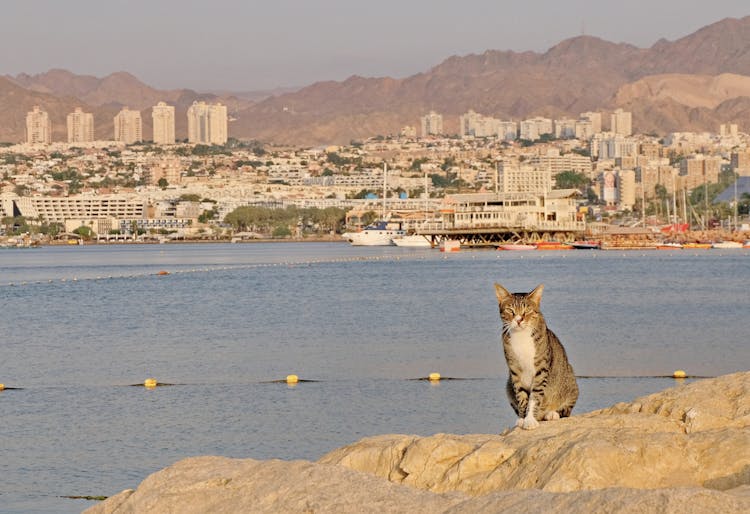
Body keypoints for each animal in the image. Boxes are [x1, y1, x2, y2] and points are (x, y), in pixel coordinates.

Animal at [494, 282, 580, 426]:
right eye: (510, 310)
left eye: (527, 310)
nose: (519, 320)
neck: (522, 336)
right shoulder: (514, 370)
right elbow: (521, 396)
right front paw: (523, 419)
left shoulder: (541, 368)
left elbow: (535, 396)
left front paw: (530, 420)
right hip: (508, 386)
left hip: (570, 380)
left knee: (566, 409)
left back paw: (552, 413)